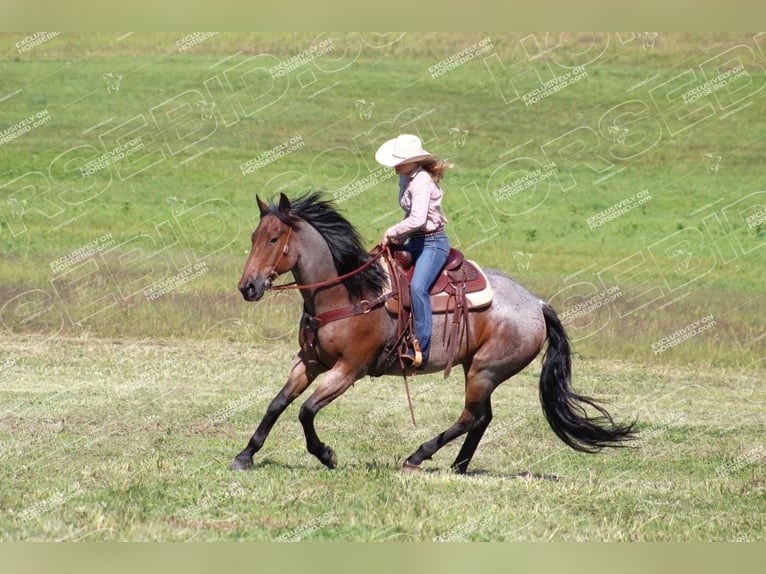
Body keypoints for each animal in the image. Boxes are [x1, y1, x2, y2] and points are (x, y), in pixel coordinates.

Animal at [232, 196, 636, 474]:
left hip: (485, 370)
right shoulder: (310, 361)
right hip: (478, 369)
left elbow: (306, 410)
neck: (347, 292)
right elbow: (278, 403)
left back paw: (418, 456)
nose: (248, 287)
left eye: (274, 238)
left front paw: (327, 455)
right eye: (253, 236)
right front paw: (246, 454)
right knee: (482, 418)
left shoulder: (349, 369)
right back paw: (458, 465)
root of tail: (538, 304)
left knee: (470, 417)